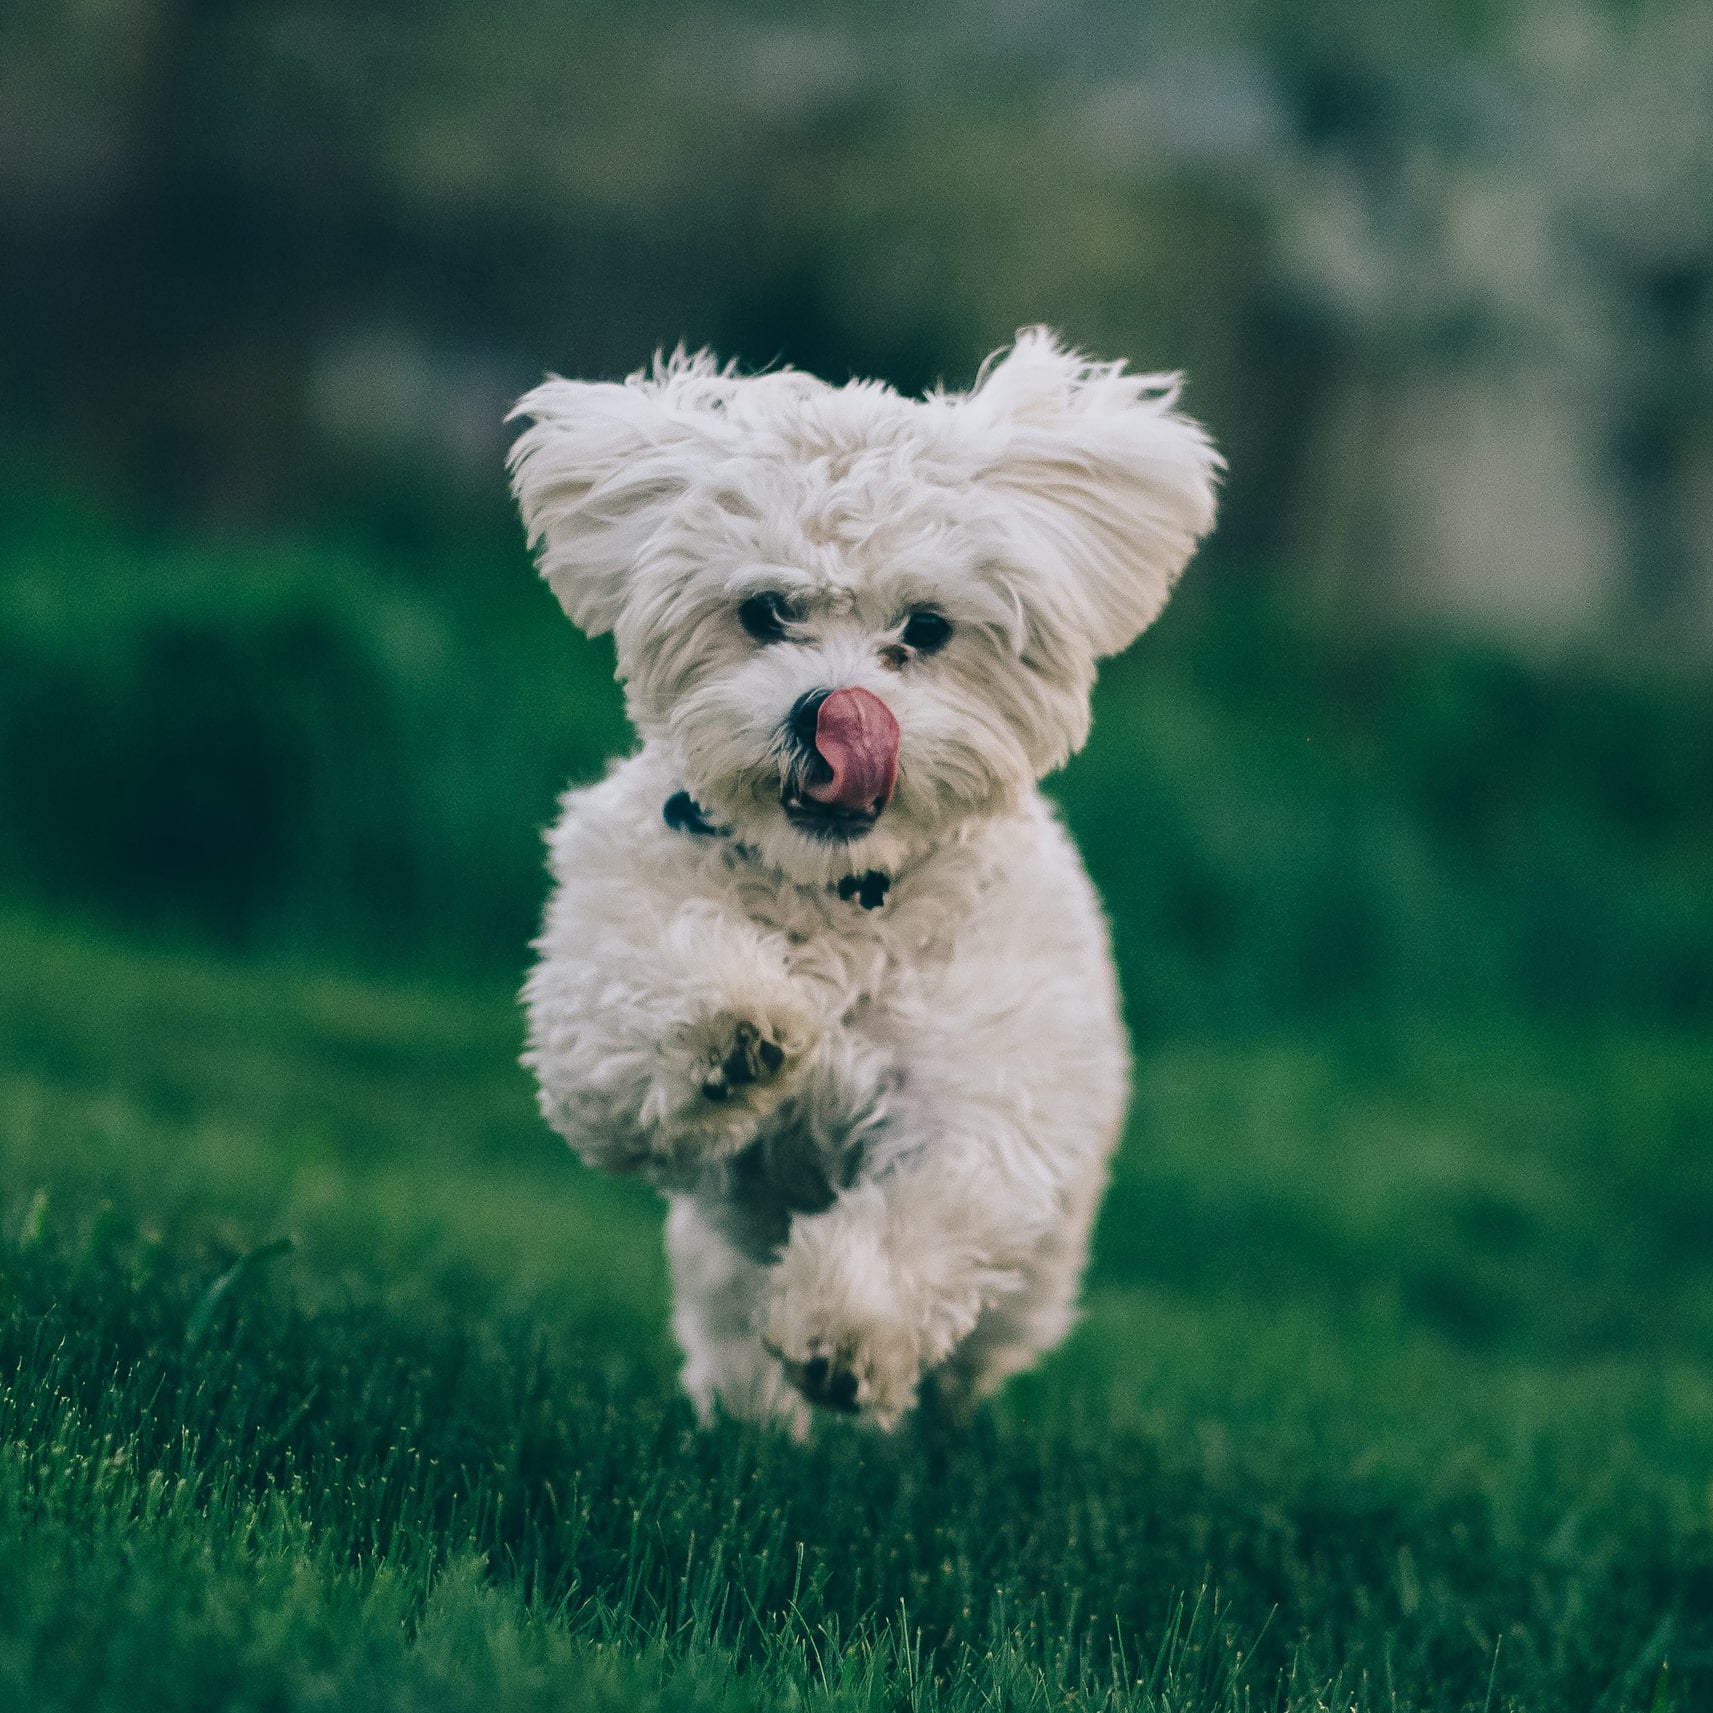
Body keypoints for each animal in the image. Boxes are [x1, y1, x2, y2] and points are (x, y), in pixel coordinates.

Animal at [507, 330, 1219, 1432]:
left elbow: (926, 1214)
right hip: (716, 1271)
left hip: (1030, 1286)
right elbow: (635, 1016)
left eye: (923, 630)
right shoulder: (596, 991)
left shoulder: (980, 1101)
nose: (831, 712)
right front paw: (738, 1028)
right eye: (764, 612)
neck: (838, 894)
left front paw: (844, 1335)